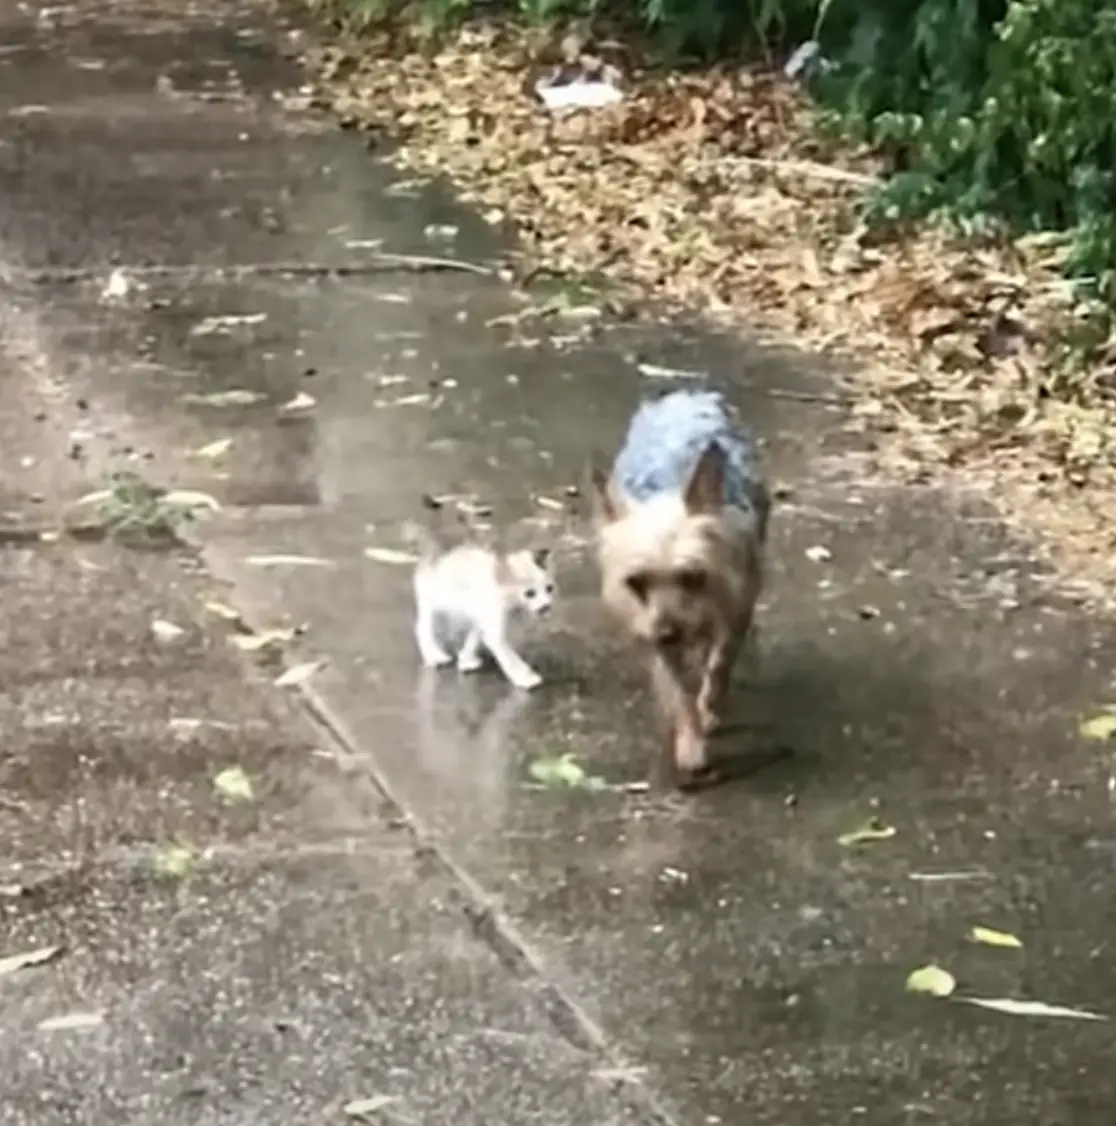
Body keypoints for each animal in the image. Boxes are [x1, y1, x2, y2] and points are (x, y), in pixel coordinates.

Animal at [403, 522, 556, 689]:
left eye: (549, 589)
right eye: (529, 593)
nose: (546, 606)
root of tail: (433, 553)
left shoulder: (482, 615)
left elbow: (475, 636)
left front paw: (466, 659)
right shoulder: (493, 622)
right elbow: (508, 654)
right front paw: (525, 677)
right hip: (433, 606)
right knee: (422, 627)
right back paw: (434, 655)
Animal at [594, 391, 765, 788]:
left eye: (692, 576)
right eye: (636, 582)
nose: (670, 633)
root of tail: (687, 394)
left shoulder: (737, 607)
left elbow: (720, 663)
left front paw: (710, 708)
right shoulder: (652, 635)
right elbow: (677, 693)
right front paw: (691, 744)